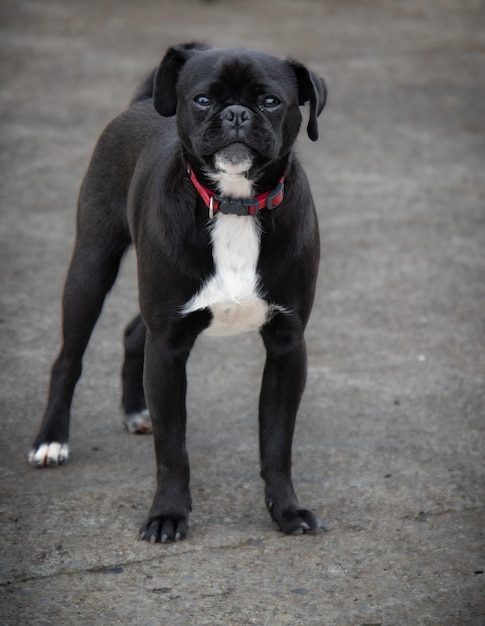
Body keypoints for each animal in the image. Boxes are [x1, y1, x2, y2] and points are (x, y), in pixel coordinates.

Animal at [28, 44, 328, 540]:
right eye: (203, 99)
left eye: (270, 101)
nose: (236, 114)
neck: (235, 205)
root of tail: (139, 104)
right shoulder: (167, 346)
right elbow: (173, 449)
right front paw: (167, 514)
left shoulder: (287, 345)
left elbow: (277, 443)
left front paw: (287, 511)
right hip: (91, 268)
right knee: (68, 359)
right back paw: (51, 440)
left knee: (133, 332)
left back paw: (135, 411)